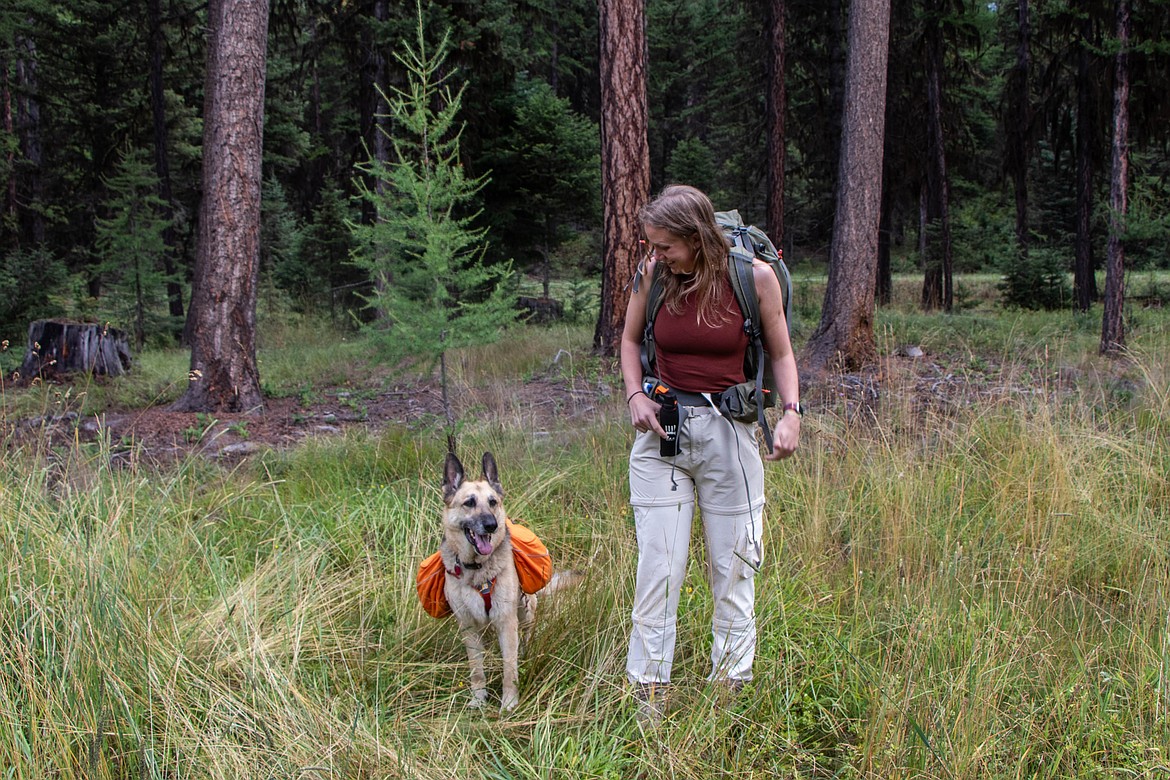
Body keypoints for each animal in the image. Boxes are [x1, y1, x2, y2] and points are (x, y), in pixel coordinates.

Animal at [439, 451, 535, 715]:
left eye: (492, 502)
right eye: (469, 503)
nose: (491, 525)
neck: (477, 570)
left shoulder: (506, 622)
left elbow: (509, 669)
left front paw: (509, 702)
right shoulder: (468, 626)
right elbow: (476, 669)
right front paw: (478, 698)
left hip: (525, 611)